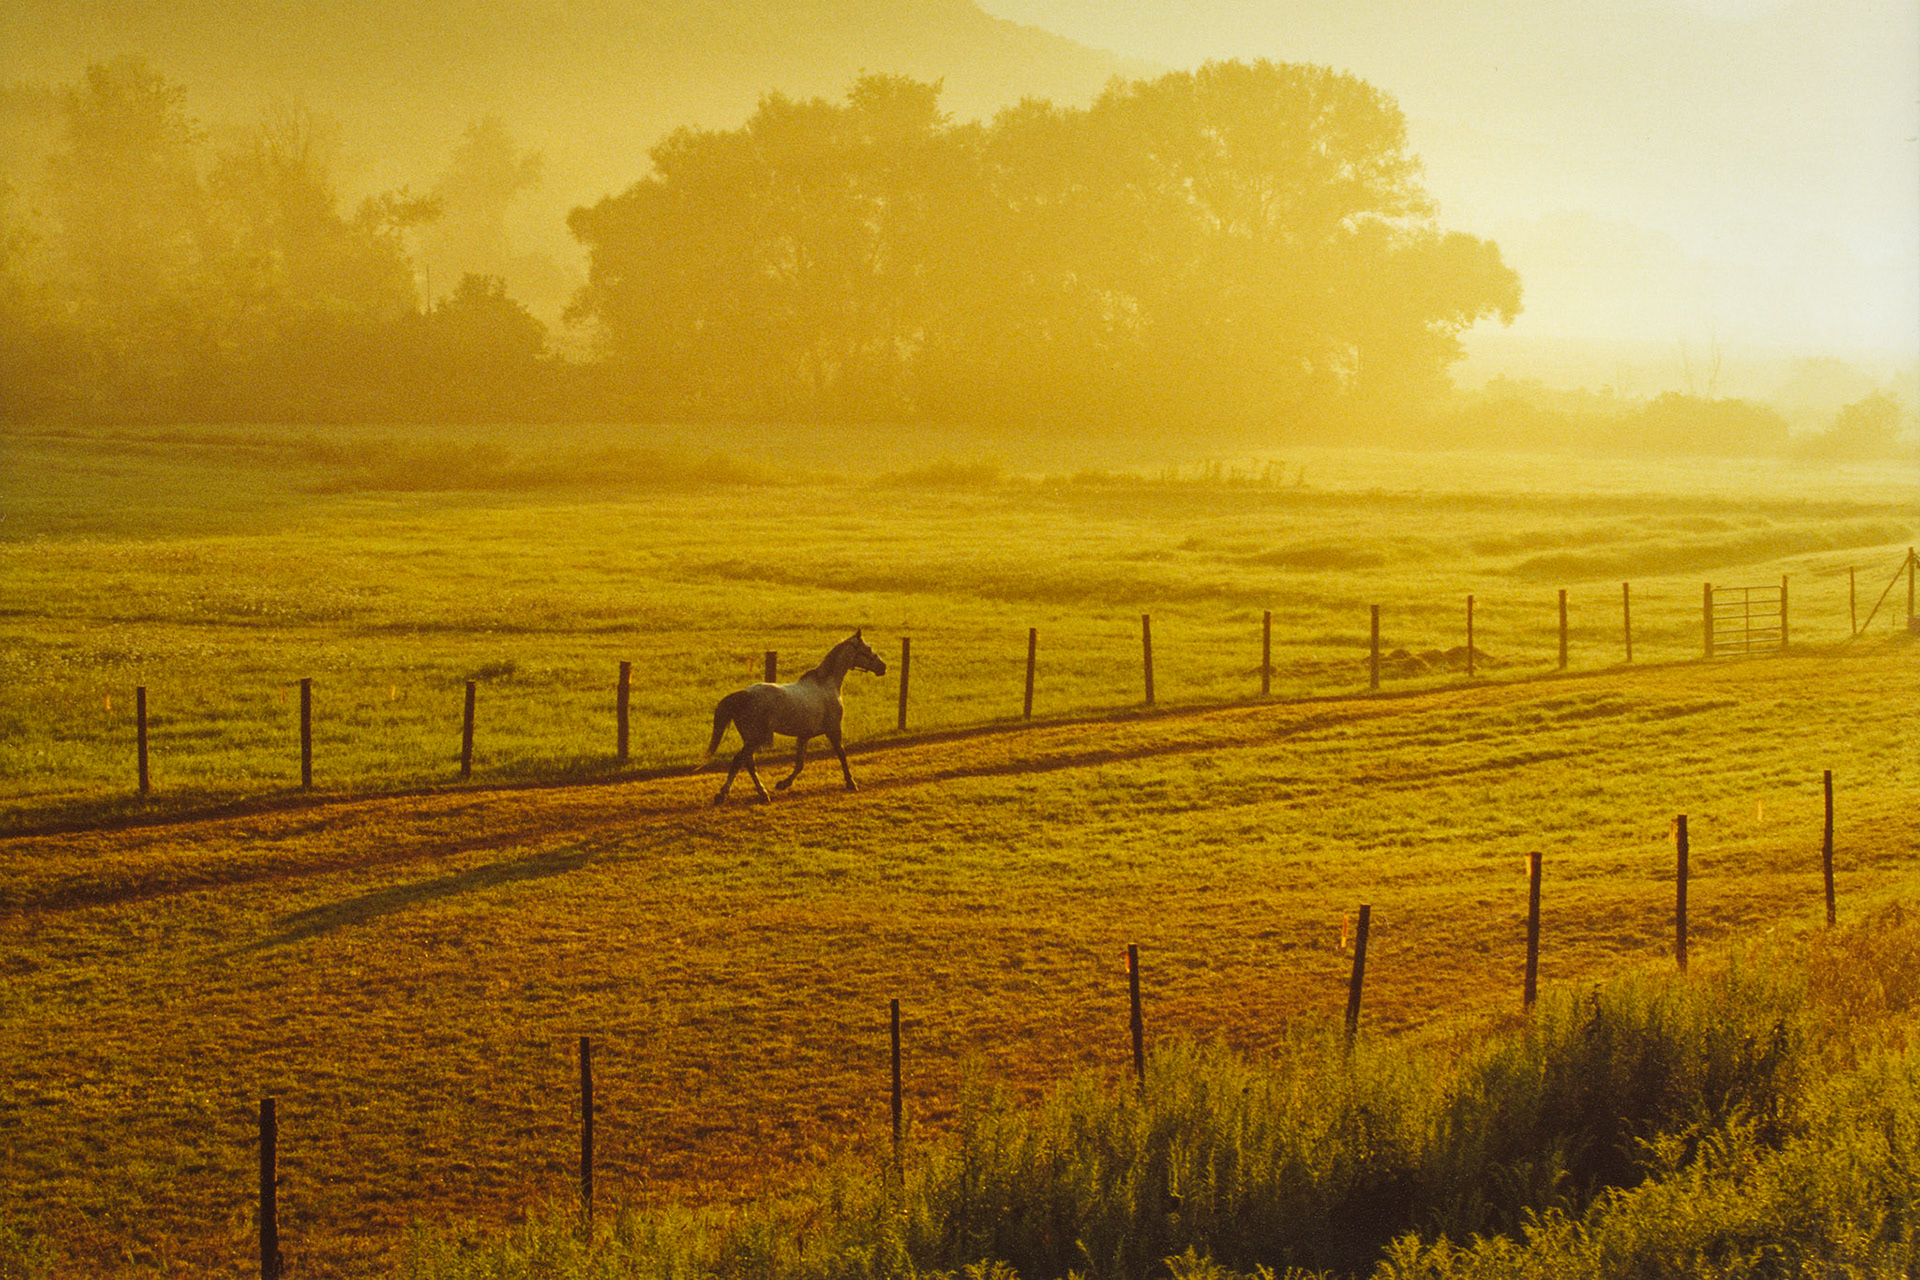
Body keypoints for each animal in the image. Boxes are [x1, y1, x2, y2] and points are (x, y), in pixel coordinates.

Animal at [703, 630, 888, 805]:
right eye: (867, 649)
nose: (883, 667)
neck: (826, 684)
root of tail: (745, 694)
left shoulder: (804, 736)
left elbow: (799, 764)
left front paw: (782, 784)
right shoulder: (833, 730)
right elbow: (841, 754)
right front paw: (851, 783)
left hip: (750, 738)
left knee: (748, 762)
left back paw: (763, 793)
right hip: (756, 738)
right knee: (738, 760)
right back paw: (723, 795)